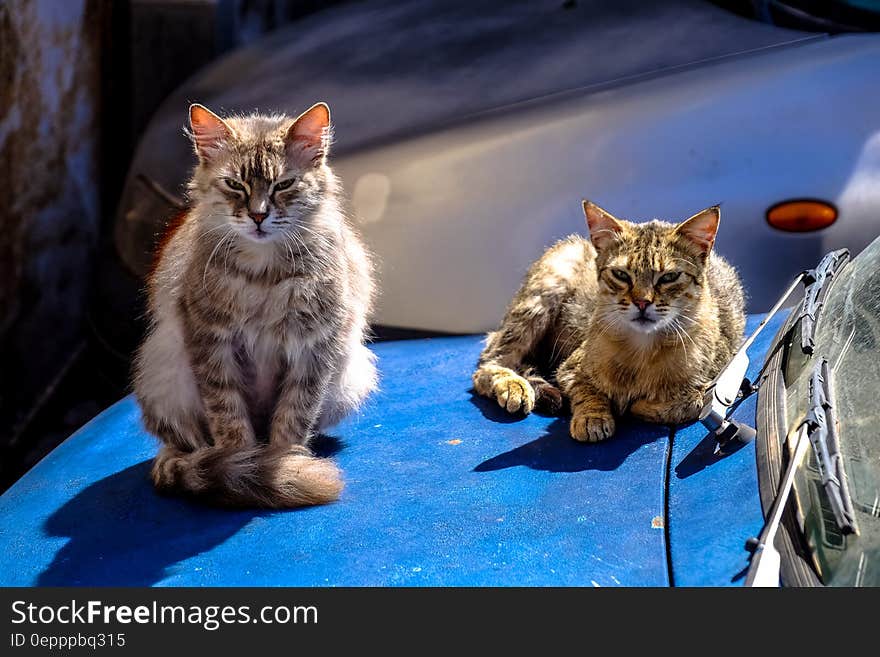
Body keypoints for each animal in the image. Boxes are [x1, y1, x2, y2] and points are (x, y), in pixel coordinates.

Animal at [133, 102, 374, 508]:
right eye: (234, 184)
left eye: (284, 185)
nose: (259, 216)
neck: (264, 273)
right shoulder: (210, 340)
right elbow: (228, 418)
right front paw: (246, 465)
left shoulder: (315, 346)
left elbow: (293, 417)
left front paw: (285, 465)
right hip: (160, 378)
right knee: (182, 443)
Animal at [474, 200, 744, 440]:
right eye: (621, 274)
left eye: (669, 277)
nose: (642, 302)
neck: (643, 350)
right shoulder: (570, 368)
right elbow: (587, 391)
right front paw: (592, 418)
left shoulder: (717, 375)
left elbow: (691, 402)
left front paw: (642, 405)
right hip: (542, 296)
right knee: (487, 363)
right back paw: (512, 385)